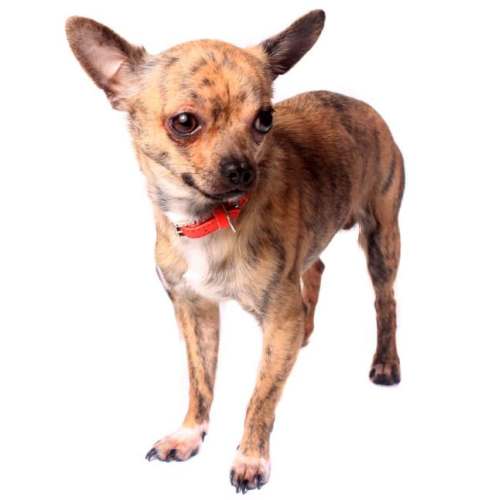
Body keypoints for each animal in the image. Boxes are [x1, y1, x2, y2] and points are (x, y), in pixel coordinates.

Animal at [66, 9, 404, 494]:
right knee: (316, 267)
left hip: (381, 238)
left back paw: (386, 363)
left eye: (264, 119)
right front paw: (189, 434)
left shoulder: (278, 317)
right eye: (184, 122)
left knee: (385, 300)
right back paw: (308, 331)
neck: (205, 220)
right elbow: (200, 380)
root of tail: (362, 105)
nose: (243, 170)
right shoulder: (195, 311)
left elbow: (261, 397)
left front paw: (250, 458)